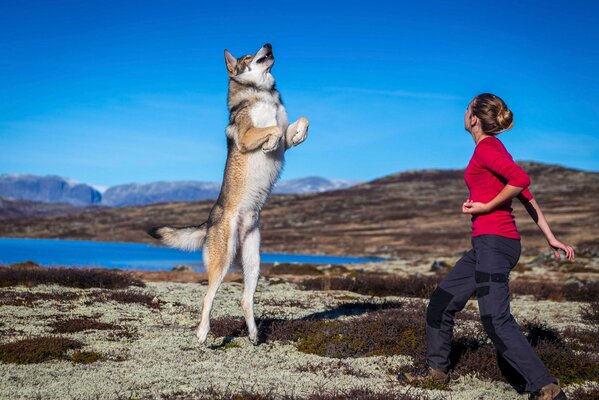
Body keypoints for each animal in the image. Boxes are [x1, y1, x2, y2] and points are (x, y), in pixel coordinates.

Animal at [148, 43, 312, 344]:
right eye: (249, 56)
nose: (269, 43)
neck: (262, 92)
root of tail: (209, 220)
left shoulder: (286, 132)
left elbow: (300, 122)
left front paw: (299, 135)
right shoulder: (248, 135)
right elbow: (272, 129)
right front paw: (269, 144)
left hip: (253, 262)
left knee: (245, 300)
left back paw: (254, 335)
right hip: (222, 261)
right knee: (207, 299)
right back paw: (202, 334)